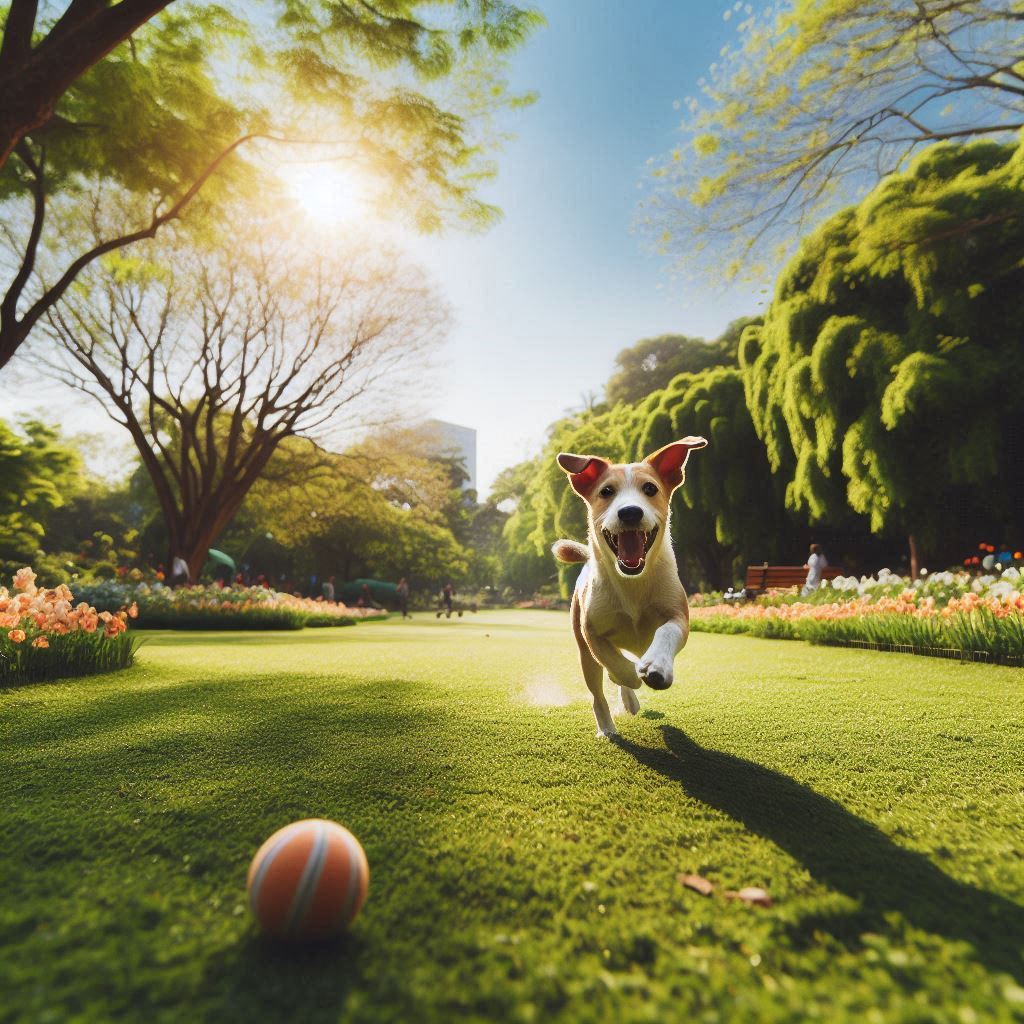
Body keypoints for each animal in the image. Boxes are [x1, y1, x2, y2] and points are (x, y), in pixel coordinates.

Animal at [548, 436, 708, 733]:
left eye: (650, 488)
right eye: (606, 491)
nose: (630, 512)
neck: (632, 583)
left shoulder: (679, 616)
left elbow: (667, 631)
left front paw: (657, 666)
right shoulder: (592, 632)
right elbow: (616, 666)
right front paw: (631, 676)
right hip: (584, 653)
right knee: (598, 690)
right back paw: (607, 726)